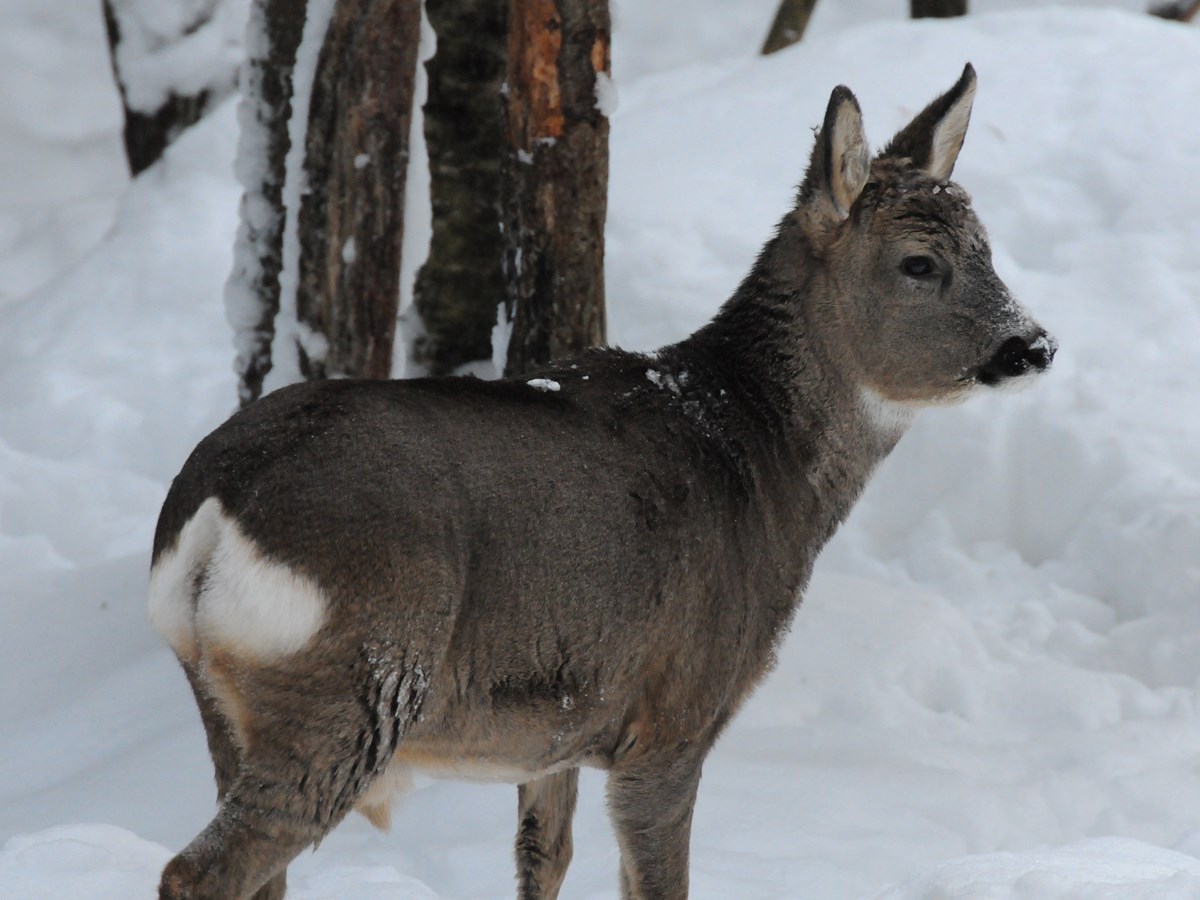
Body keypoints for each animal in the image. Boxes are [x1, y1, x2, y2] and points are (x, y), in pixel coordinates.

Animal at [154, 65, 1056, 900]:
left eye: (987, 248)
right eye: (920, 263)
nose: (1034, 345)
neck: (758, 460)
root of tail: (210, 511)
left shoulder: (557, 726)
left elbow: (542, 858)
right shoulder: (674, 715)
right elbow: (657, 879)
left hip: (229, 704)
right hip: (356, 677)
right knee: (200, 871)